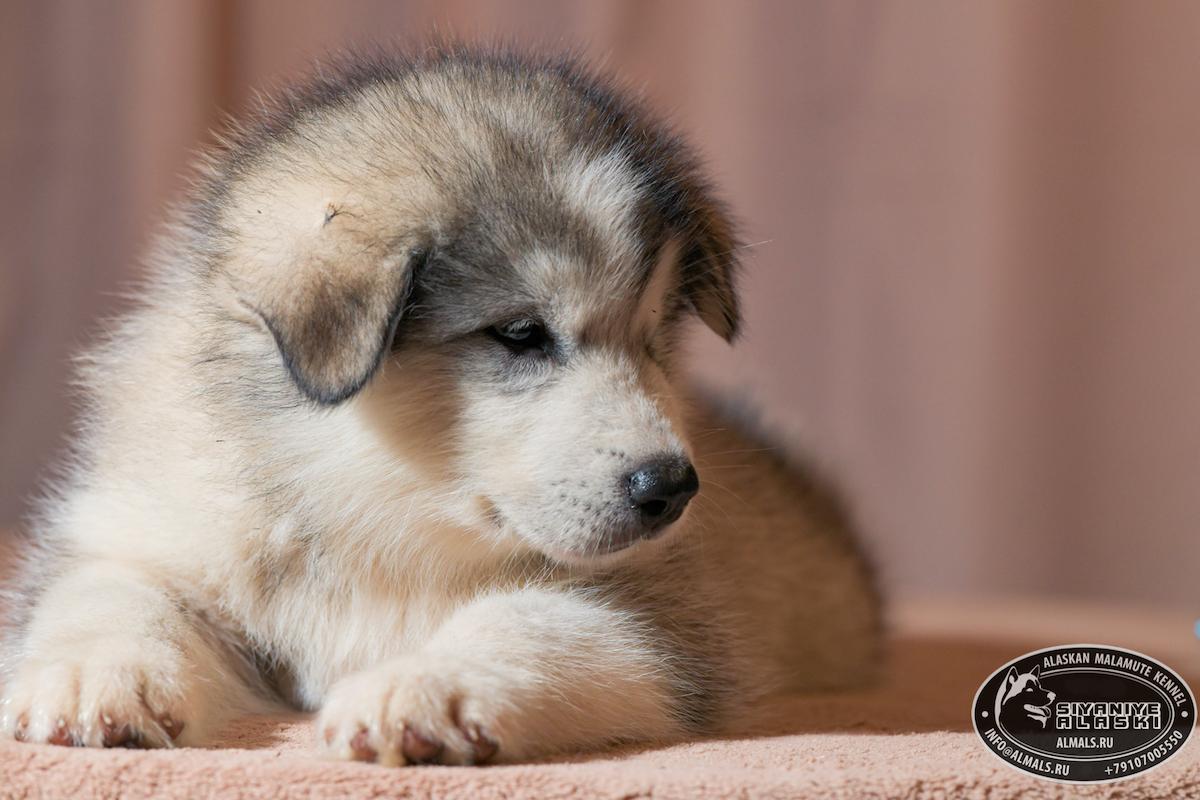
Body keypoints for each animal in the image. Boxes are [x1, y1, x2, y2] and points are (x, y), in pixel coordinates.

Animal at [0, 47, 883, 767]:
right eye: (521, 334)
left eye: (655, 341)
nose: (670, 487)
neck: (369, 504)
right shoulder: (137, 530)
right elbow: (113, 594)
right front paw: (92, 676)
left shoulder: (658, 614)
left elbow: (525, 623)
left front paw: (425, 687)